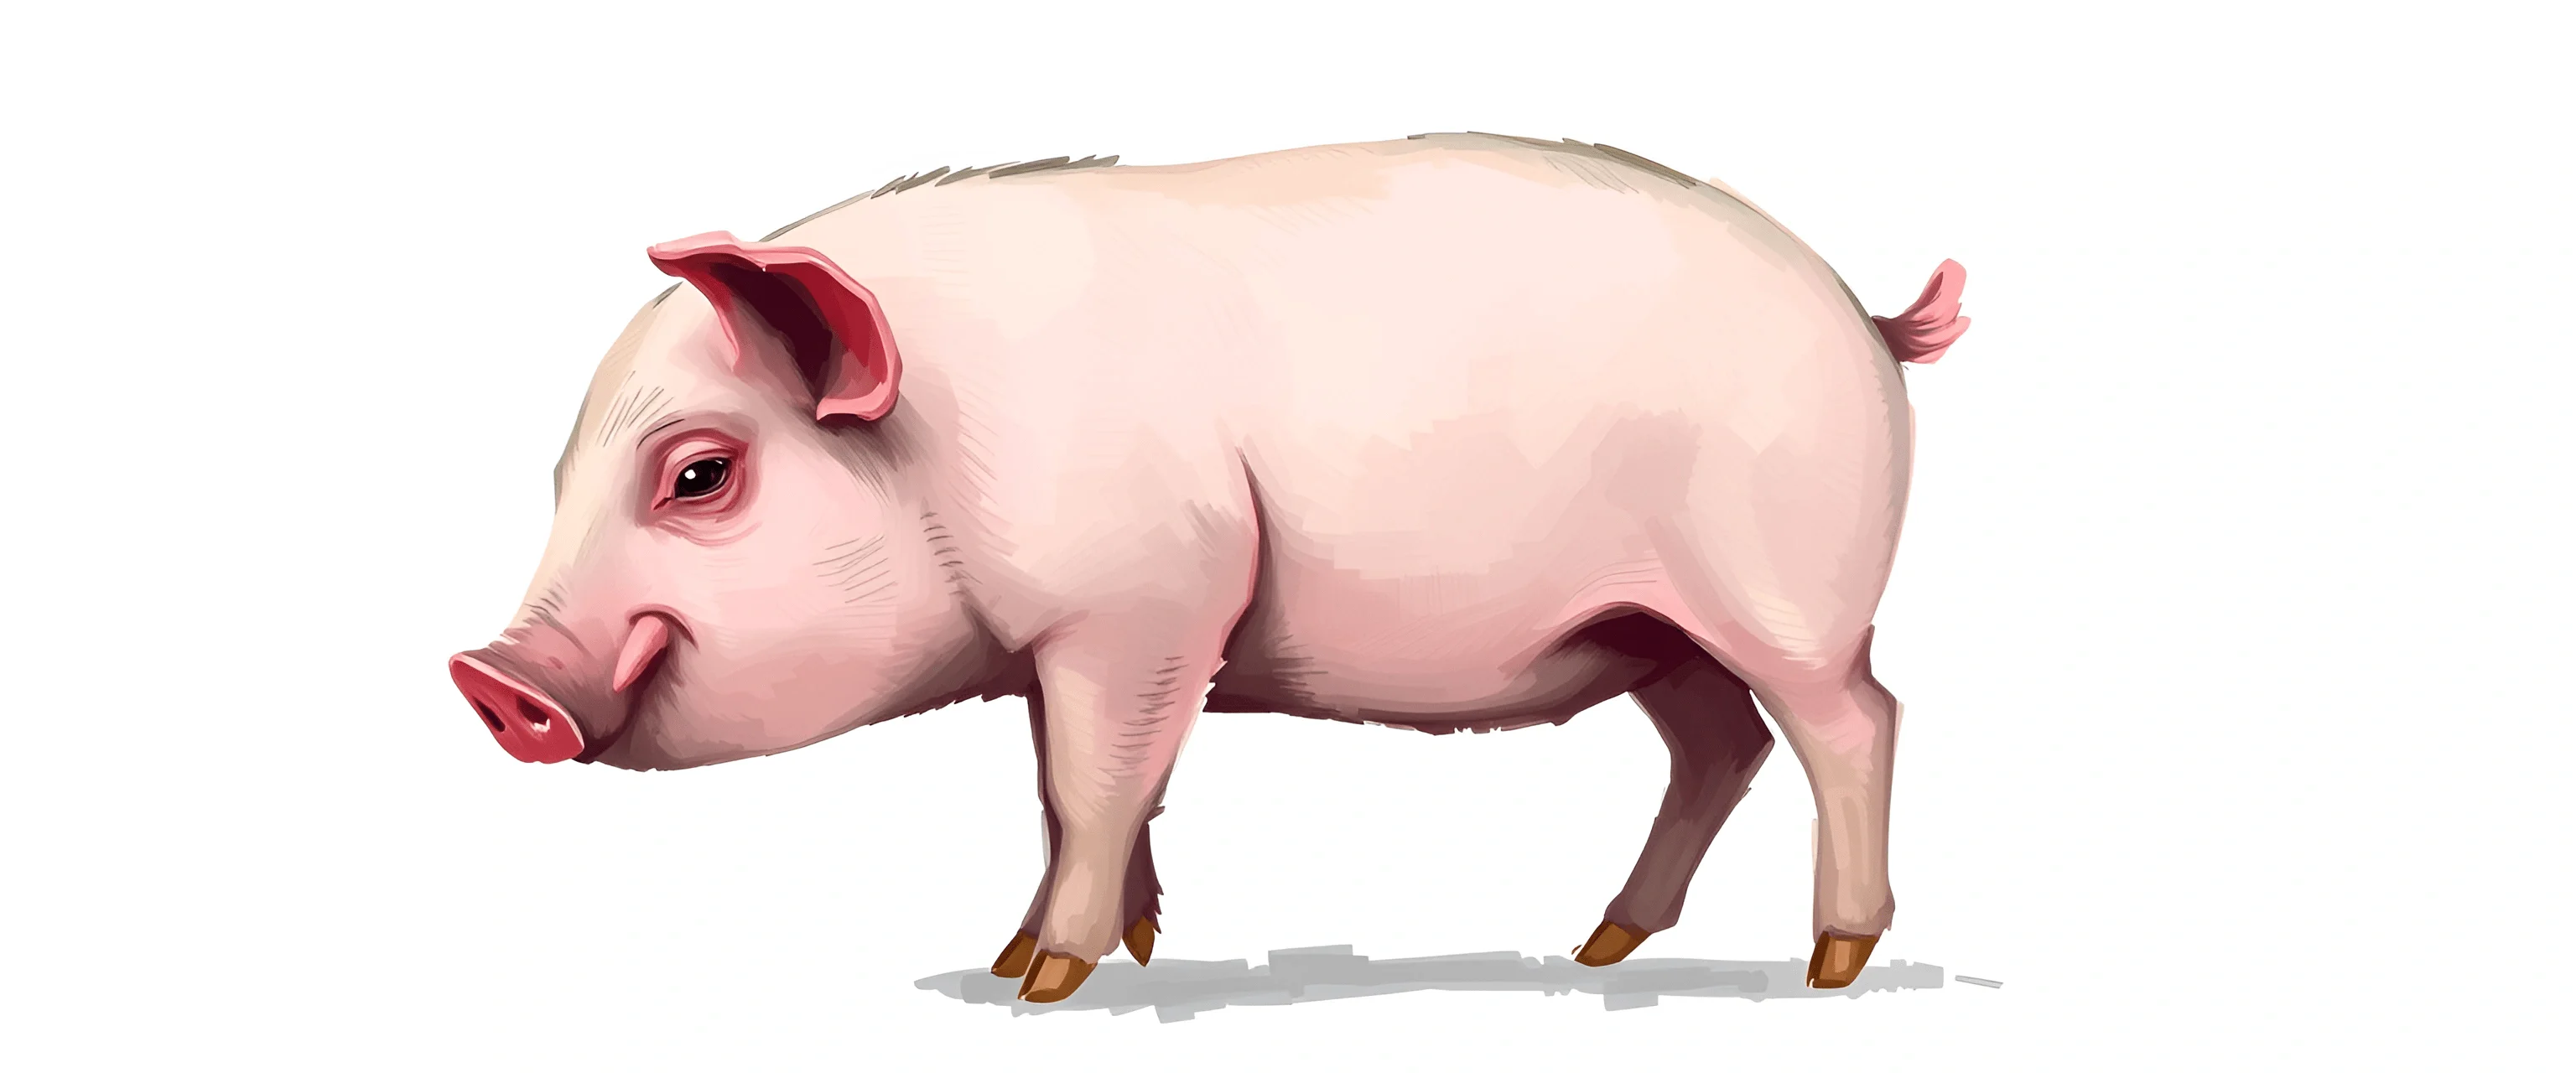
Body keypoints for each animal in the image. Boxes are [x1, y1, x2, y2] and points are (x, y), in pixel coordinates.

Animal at [448, 132, 1969, 1003]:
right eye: (560, 478)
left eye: (700, 475)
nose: (490, 678)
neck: (949, 442)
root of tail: (1865, 316)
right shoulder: (1088, 644)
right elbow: (1073, 795)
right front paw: (1050, 957)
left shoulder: (1147, 604)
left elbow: (1095, 784)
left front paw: (1048, 985)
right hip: (1654, 629)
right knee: (1719, 746)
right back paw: (1603, 947)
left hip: (1788, 597)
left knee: (1855, 724)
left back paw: (1832, 966)